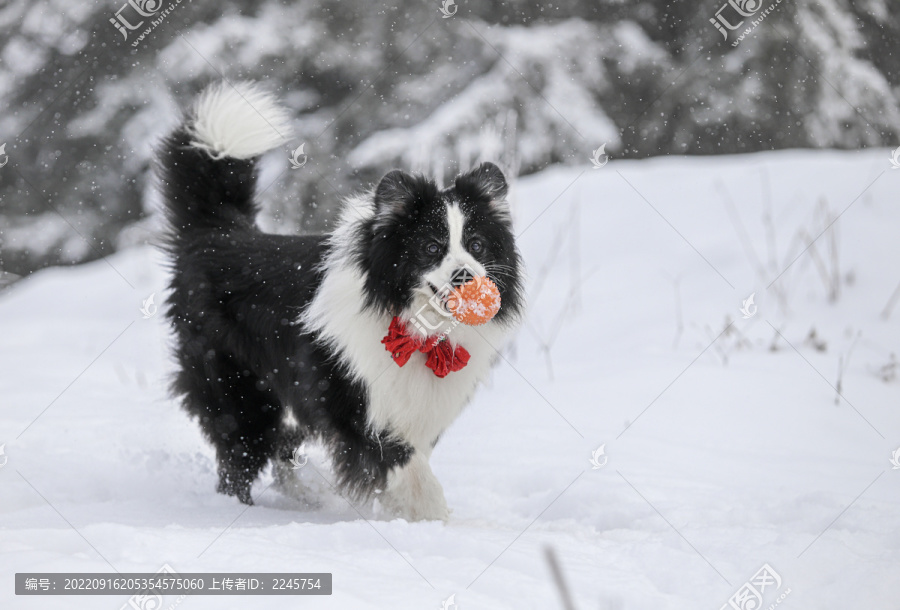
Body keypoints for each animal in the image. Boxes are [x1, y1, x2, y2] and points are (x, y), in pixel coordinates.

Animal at [158, 81, 524, 516]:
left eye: (477, 244)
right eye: (432, 248)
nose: (465, 276)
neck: (418, 329)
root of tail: (220, 234)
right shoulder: (356, 405)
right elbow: (410, 469)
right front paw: (437, 519)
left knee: (280, 447)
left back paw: (306, 496)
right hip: (235, 384)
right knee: (240, 451)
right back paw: (241, 508)